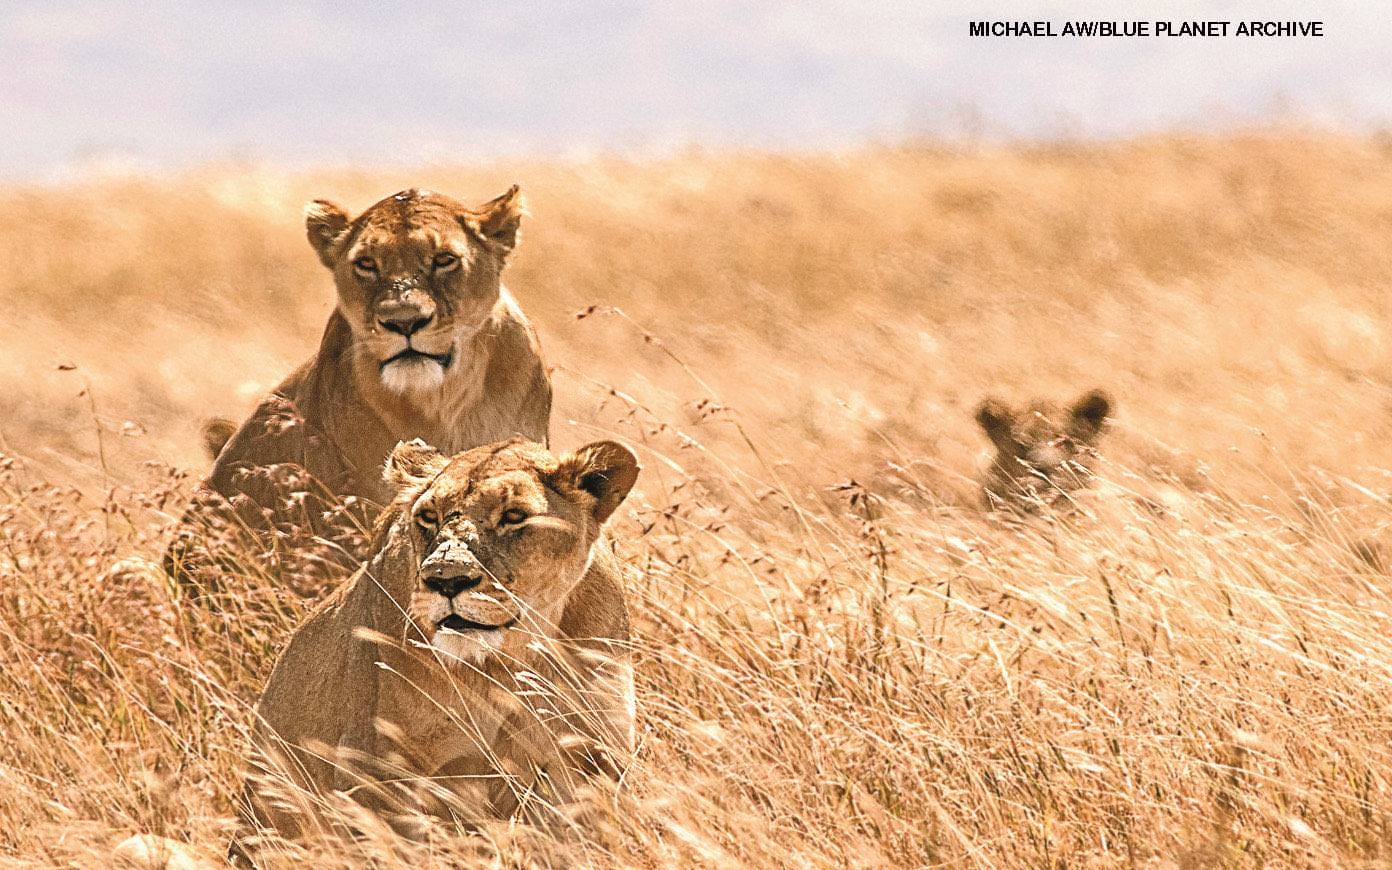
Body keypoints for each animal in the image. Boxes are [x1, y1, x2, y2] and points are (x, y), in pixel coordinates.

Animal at [233, 437, 639, 855]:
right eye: (428, 517)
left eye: (514, 515)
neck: (508, 662)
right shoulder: (376, 767)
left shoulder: (590, 757)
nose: (446, 579)